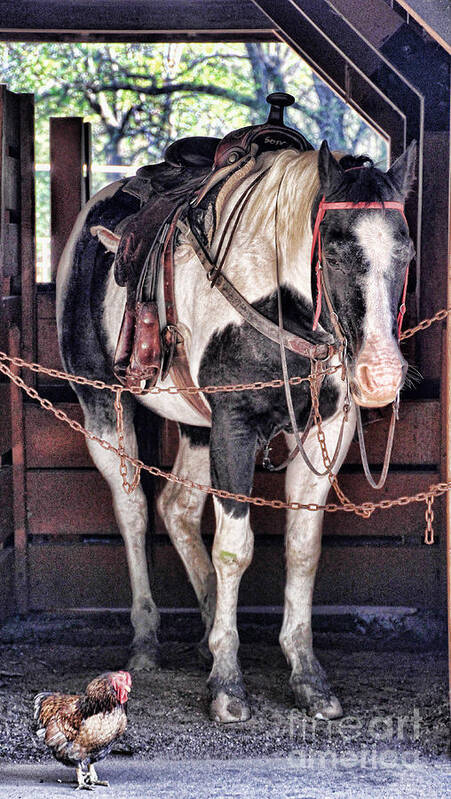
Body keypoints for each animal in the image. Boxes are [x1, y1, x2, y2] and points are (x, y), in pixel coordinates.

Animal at [56, 133, 416, 724]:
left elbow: (302, 549)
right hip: (102, 404)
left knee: (177, 509)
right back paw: (146, 639)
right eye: (334, 250)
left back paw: (204, 626)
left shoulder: (328, 428)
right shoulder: (235, 424)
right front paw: (227, 683)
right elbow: (234, 548)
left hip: (196, 427)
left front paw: (307, 676)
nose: (379, 375)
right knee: (134, 512)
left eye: (405, 253)